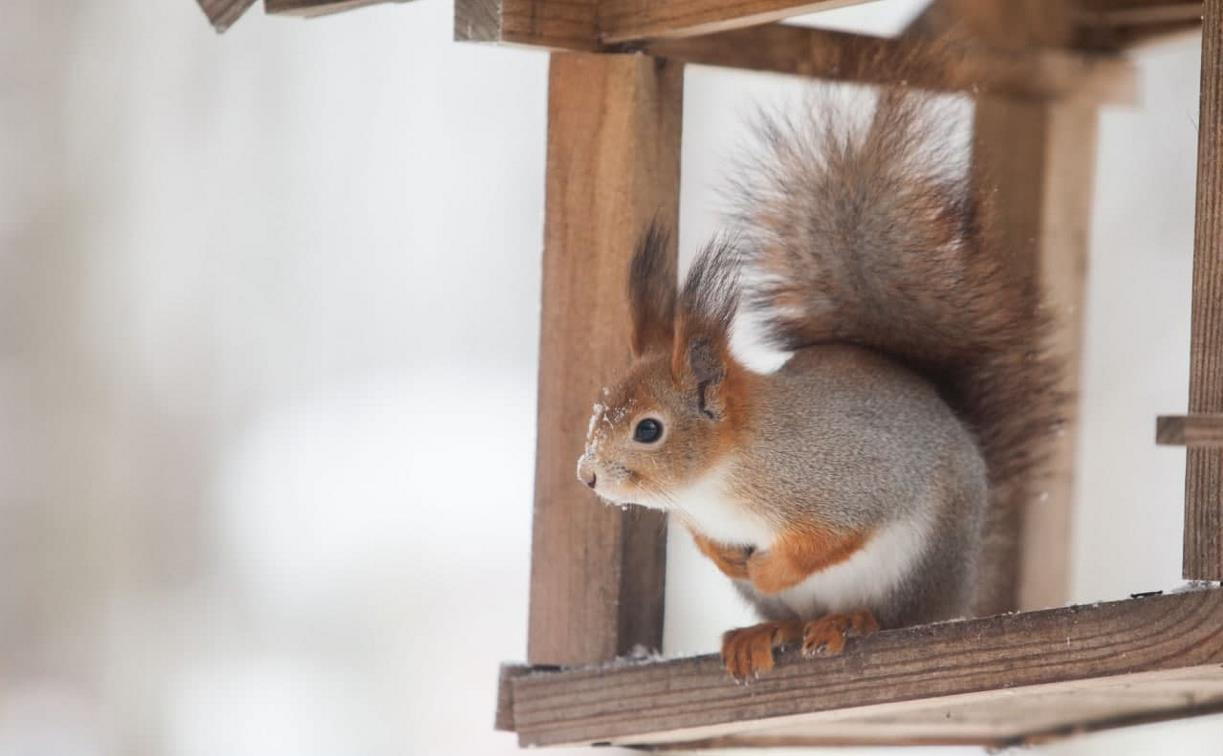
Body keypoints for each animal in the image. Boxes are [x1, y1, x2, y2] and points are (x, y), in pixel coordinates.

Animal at [572, 82, 1061, 675]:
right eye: (599, 411)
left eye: (648, 429)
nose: (587, 475)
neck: (717, 479)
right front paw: (727, 557)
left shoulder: (846, 481)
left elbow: (828, 539)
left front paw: (767, 567)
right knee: (793, 618)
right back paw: (766, 631)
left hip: (917, 567)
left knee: (893, 615)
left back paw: (848, 620)